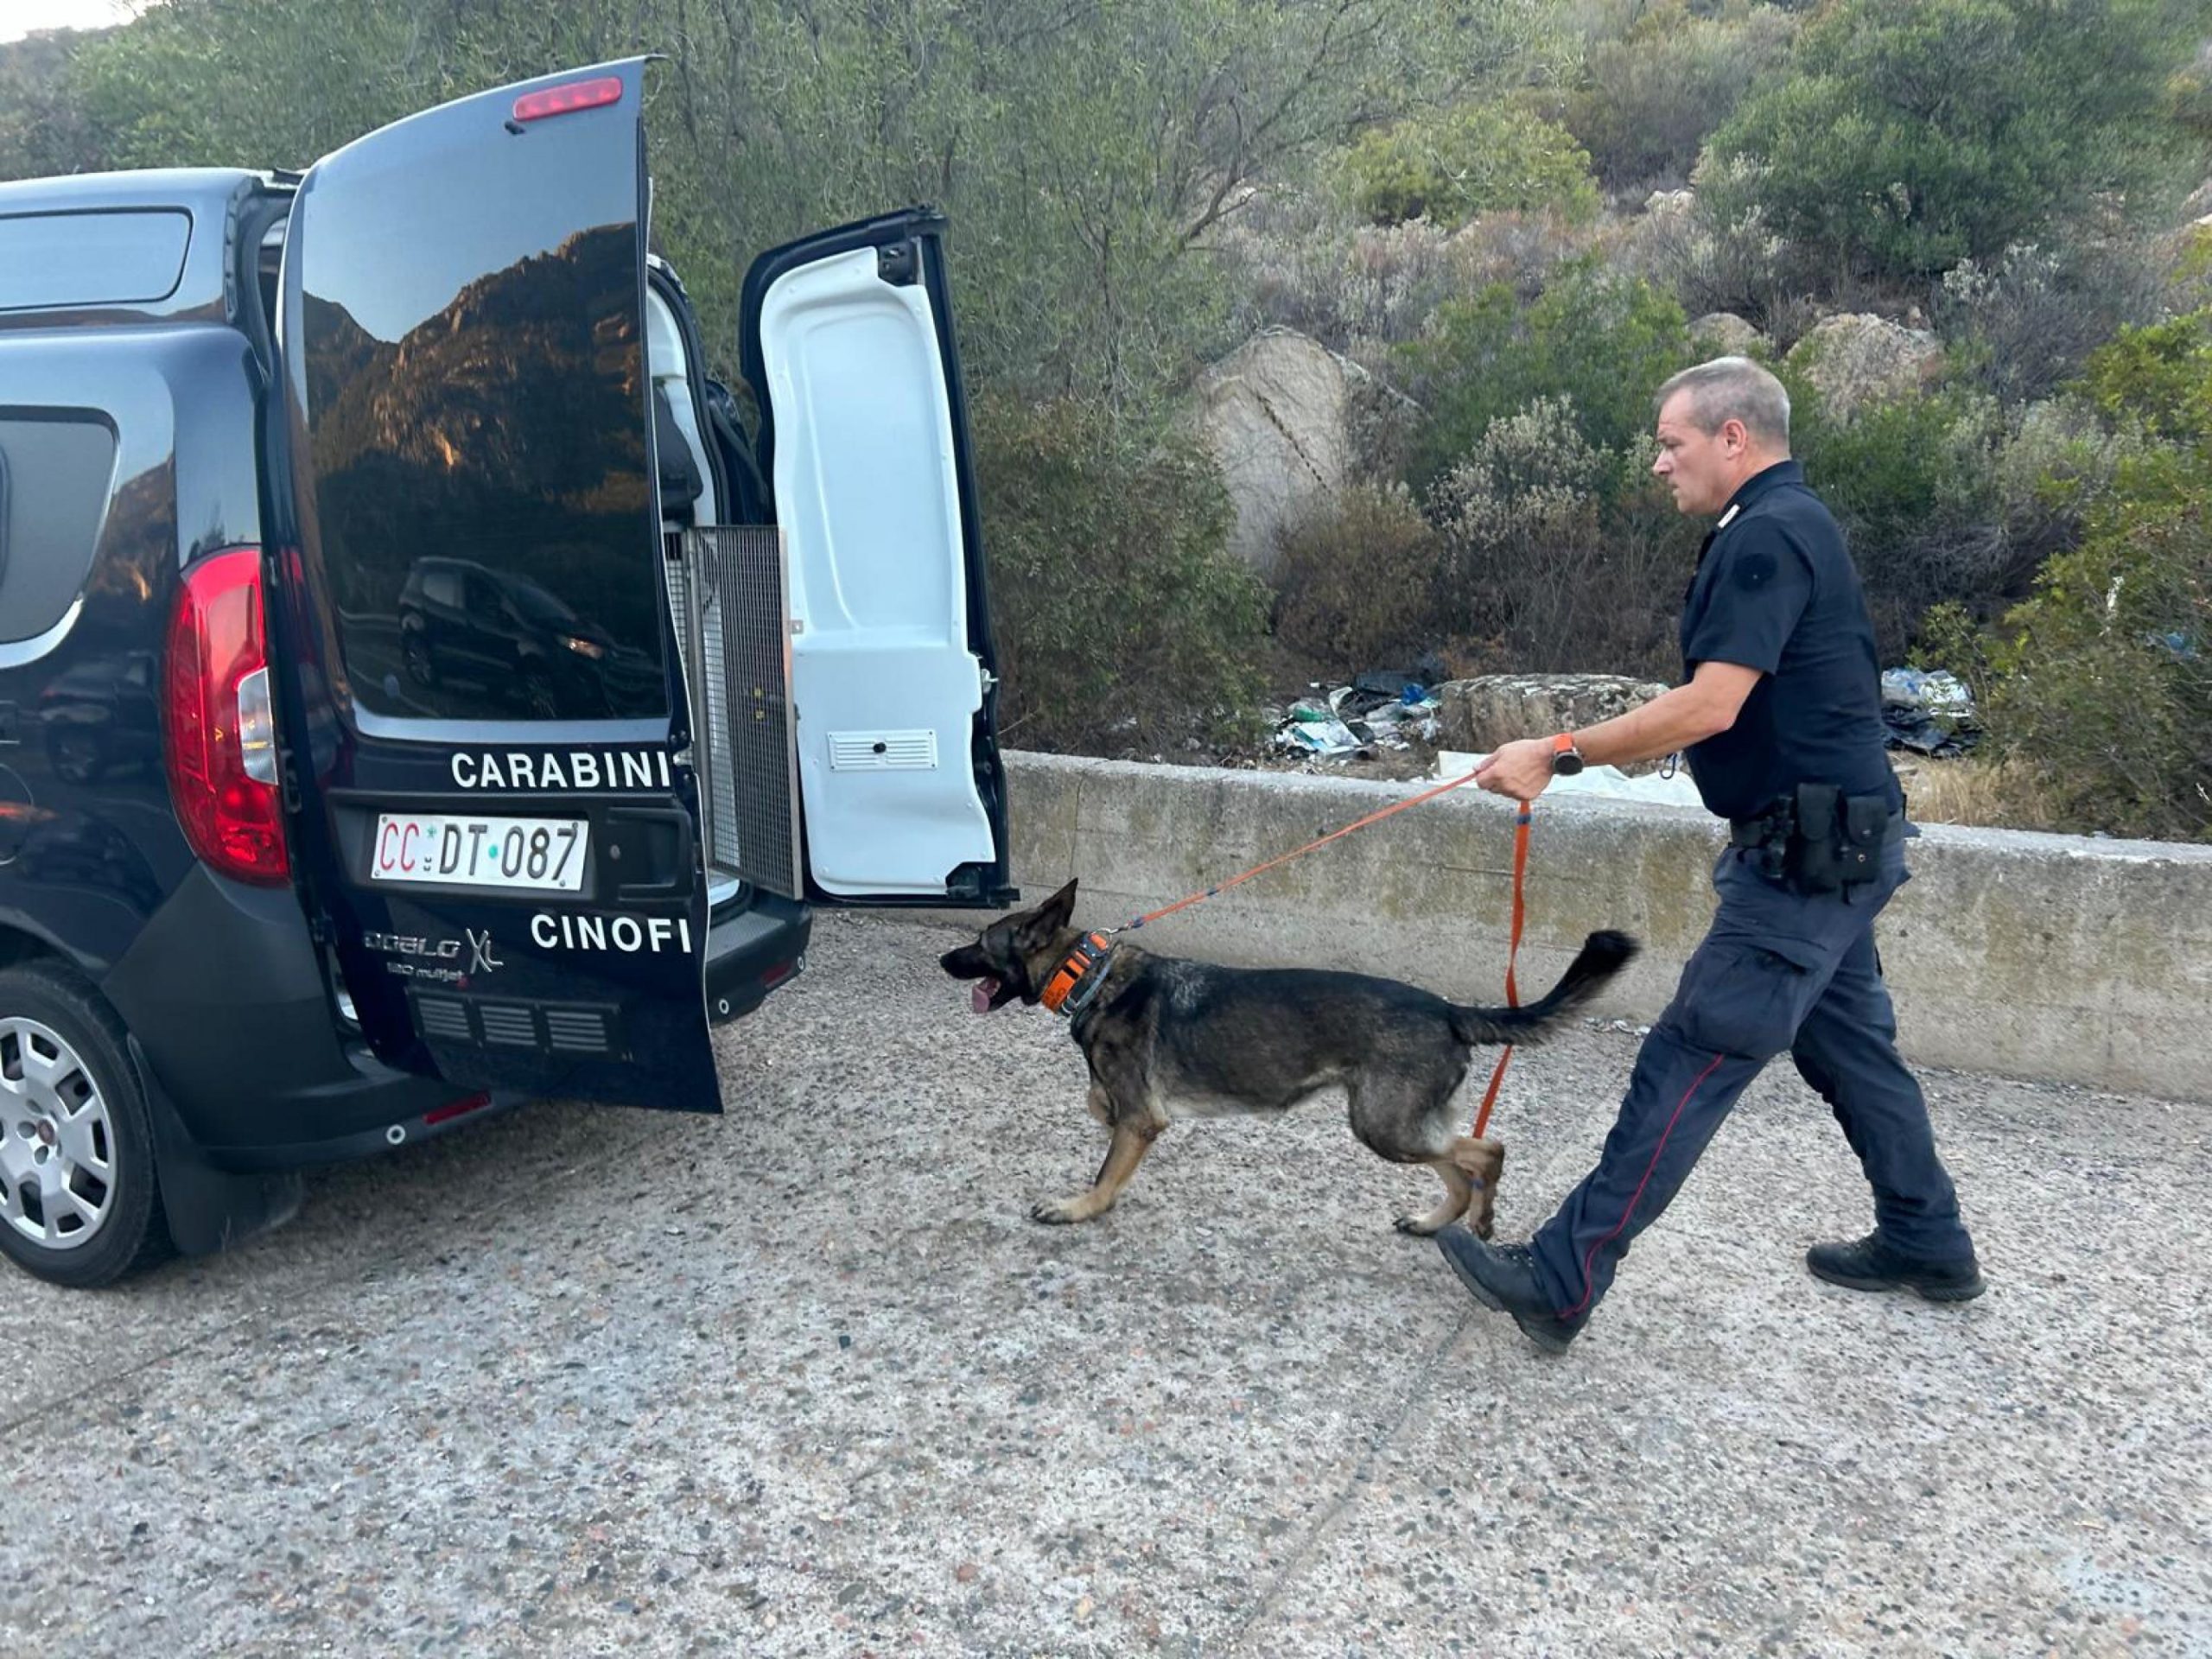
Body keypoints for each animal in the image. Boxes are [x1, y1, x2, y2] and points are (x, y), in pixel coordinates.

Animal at [938, 889, 1645, 1238]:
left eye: (979, 943)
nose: (944, 960)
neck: (1090, 977)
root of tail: (1447, 1009)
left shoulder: (1139, 1121)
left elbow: (1106, 1173)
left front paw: (1078, 1209)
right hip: (1396, 1126)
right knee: (1460, 1167)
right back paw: (1433, 1222)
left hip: (1383, 1125)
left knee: (1487, 1153)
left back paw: (1483, 1218)